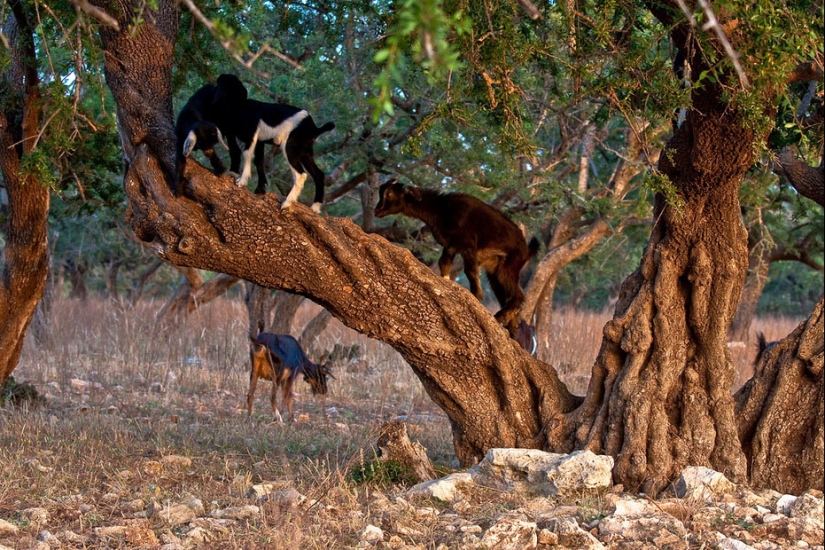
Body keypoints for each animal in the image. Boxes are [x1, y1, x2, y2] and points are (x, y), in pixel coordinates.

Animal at [212, 74, 335, 212]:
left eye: (220, 84)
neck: (241, 106)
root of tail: (314, 128)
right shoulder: (260, 141)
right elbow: (259, 161)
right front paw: (260, 189)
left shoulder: (252, 135)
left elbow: (247, 154)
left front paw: (242, 182)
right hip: (305, 152)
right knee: (318, 174)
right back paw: (315, 207)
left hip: (290, 148)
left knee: (301, 174)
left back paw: (286, 203)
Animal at [375, 182, 540, 337]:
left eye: (389, 194)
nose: (377, 211)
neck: (440, 208)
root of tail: (527, 250)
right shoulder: (450, 246)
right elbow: (444, 264)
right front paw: (446, 282)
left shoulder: (468, 245)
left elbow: (470, 271)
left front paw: (476, 296)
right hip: (495, 273)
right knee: (507, 297)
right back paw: (511, 330)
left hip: (508, 267)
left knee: (519, 296)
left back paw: (500, 317)